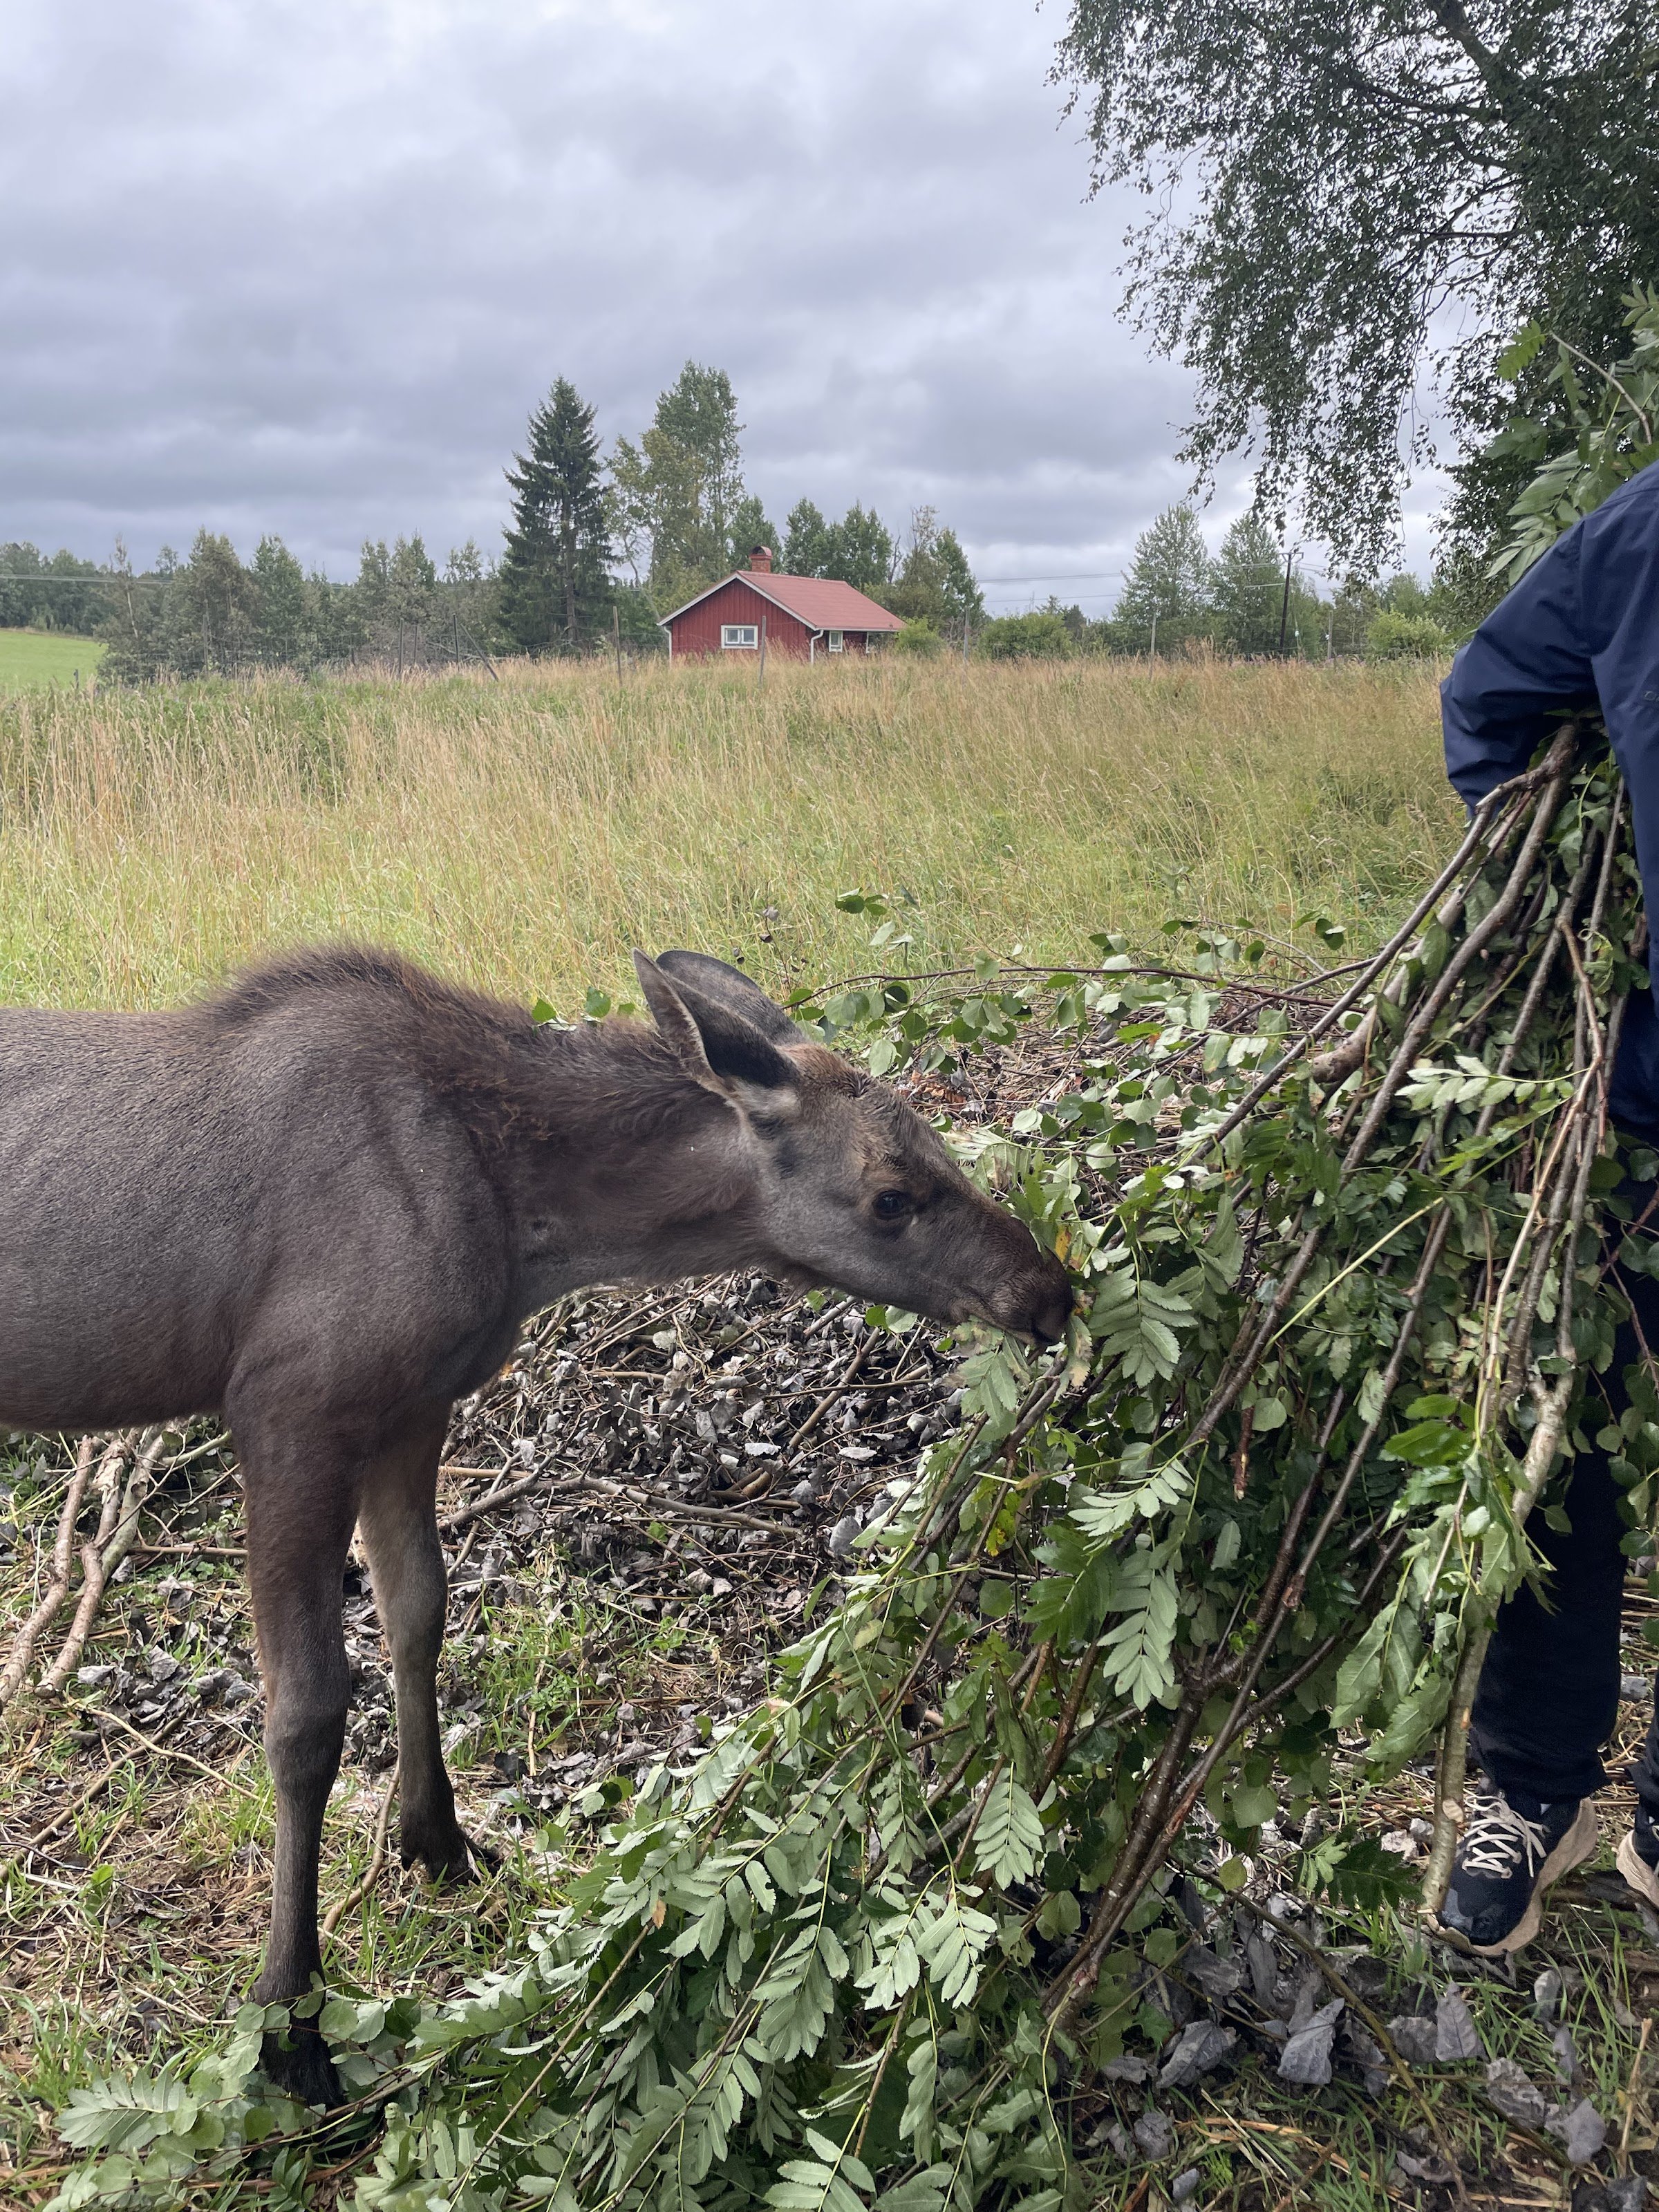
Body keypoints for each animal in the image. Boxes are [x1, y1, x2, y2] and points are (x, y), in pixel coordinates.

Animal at [0, 944, 1071, 2103]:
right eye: (891, 1196)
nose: (1048, 1290)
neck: (530, 1226)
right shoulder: (289, 1411)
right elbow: (304, 1718)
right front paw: (289, 2020)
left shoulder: (415, 1405)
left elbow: (420, 1610)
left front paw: (436, 1838)